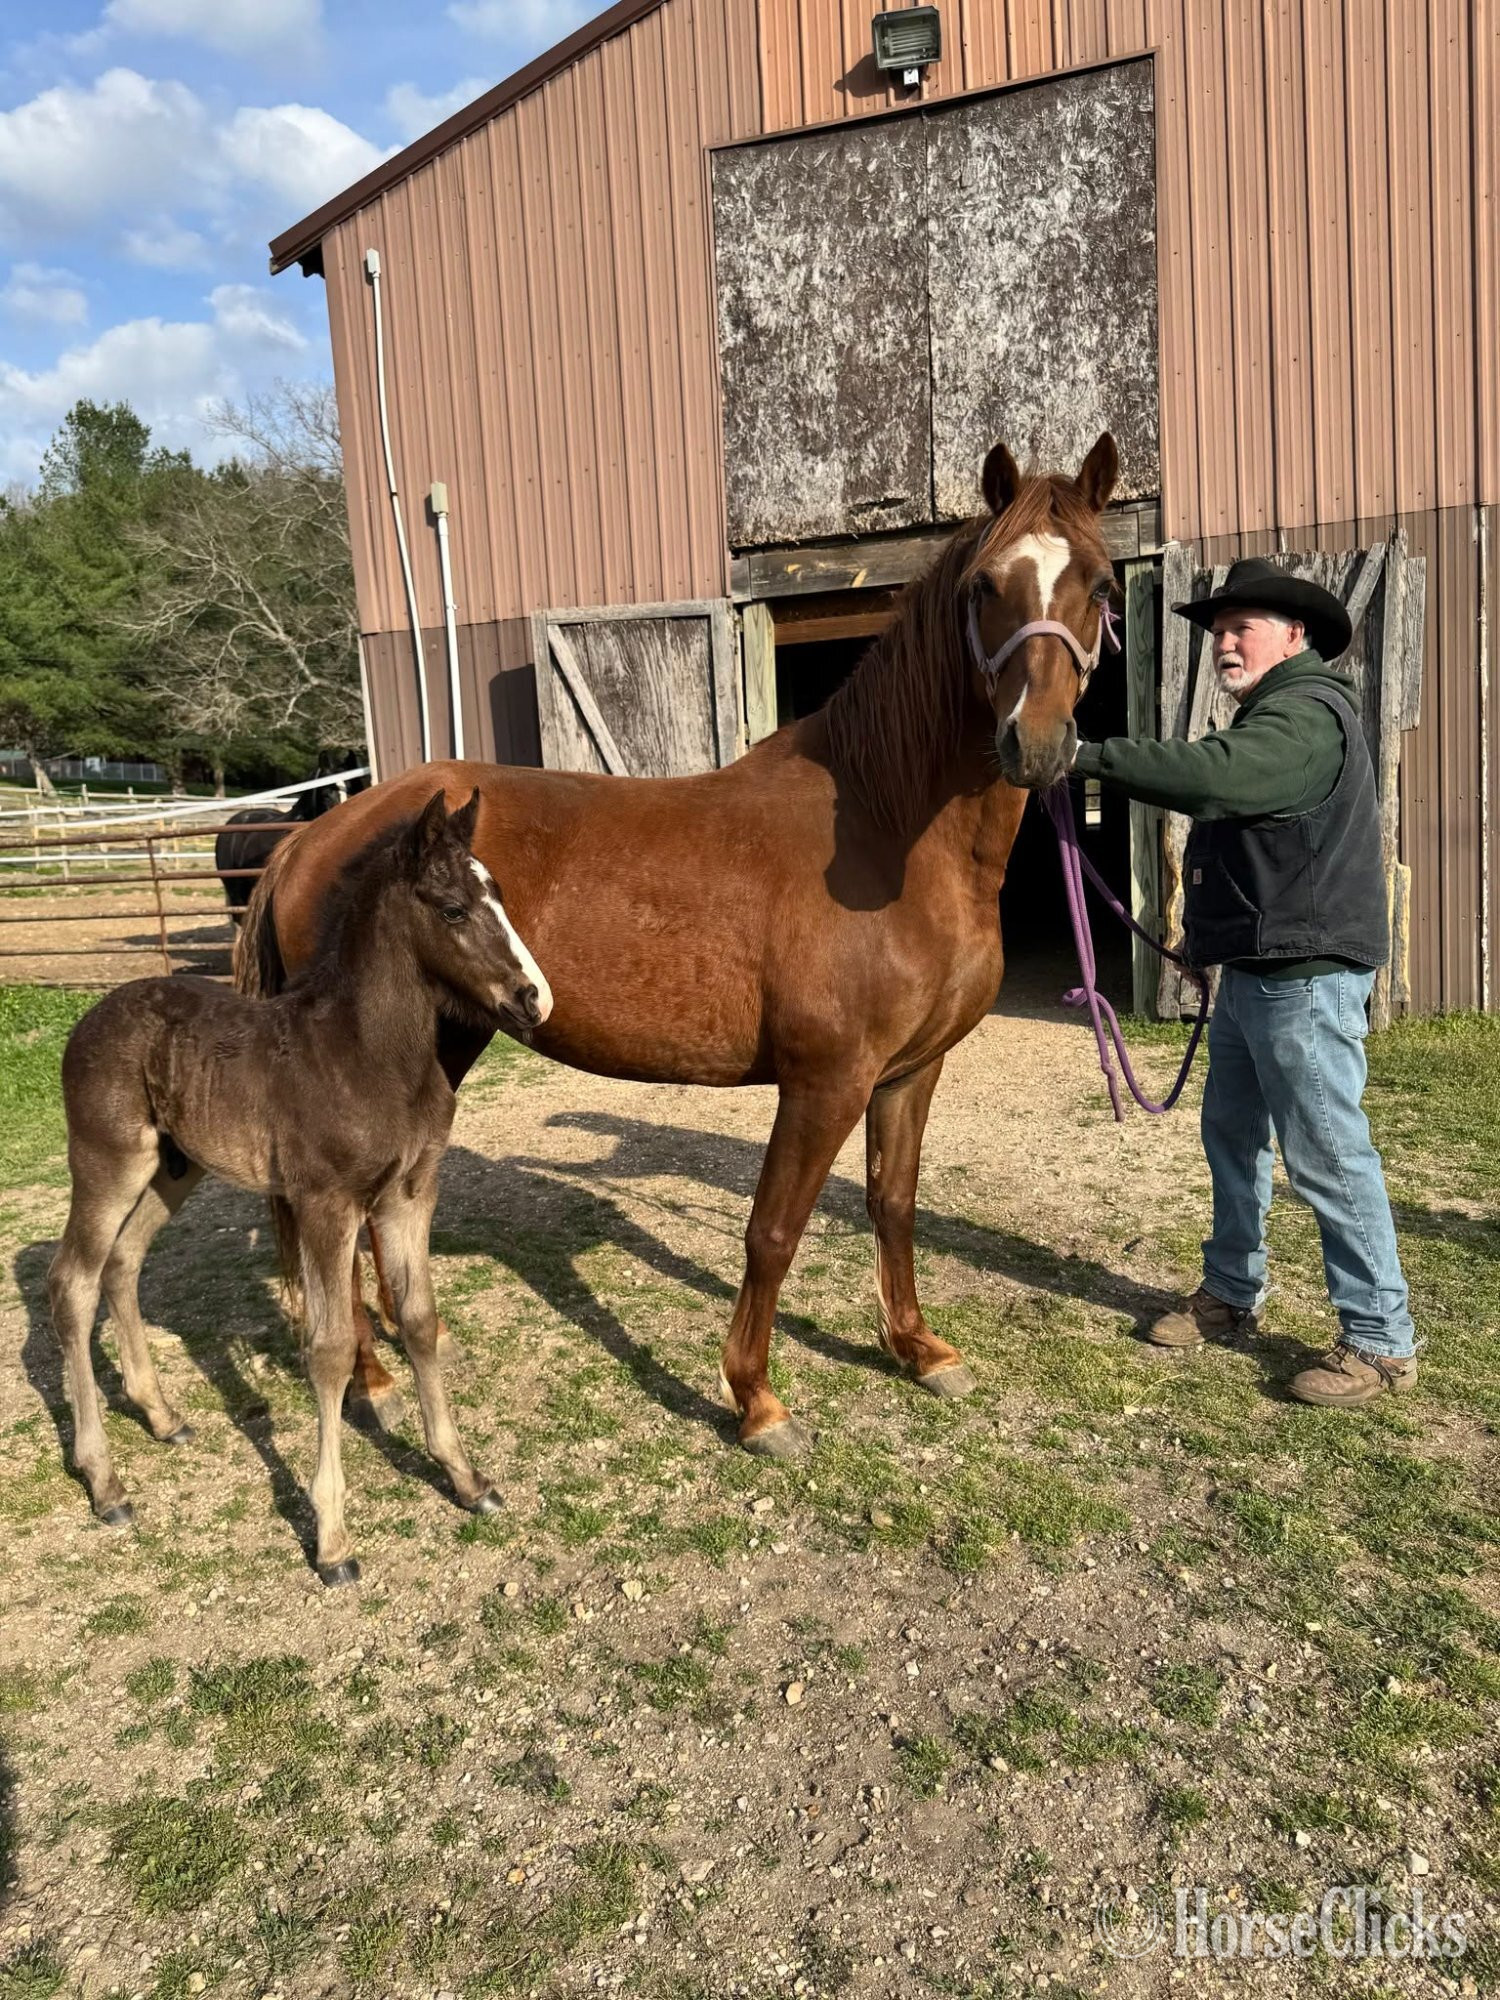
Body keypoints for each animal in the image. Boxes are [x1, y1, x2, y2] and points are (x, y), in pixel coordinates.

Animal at [49, 789, 551, 1584]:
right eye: (451, 910)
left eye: (499, 894)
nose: (533, 999)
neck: (368, 1054)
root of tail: (91, 1017)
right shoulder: (325, 1204)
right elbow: (331, 1349)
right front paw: (333, 1538)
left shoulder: (410, 1195)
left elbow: (419, 1321)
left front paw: (466, 1479)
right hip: (108, 1161)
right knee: (73, 1282)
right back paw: (105, 1483)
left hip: (173, 1169)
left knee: (122, 1264)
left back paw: (162, 1417)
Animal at [236, 433, 1121, 1461]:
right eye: (985, 585)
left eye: (1101, 583)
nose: (1037, 745)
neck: (883, 832)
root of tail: (312, 835)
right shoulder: (825, 1081)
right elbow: (773, 1232)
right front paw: (758, 1402)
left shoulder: (908, 1072)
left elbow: (892, 1204)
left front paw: (919, 1349)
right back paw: (371, 1377)